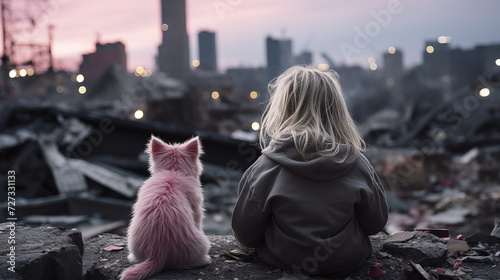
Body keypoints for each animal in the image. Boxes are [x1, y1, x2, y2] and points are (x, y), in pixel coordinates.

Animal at [121, 136, 211, 280]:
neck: (173, 171)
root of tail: (158, 254)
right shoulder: (196, 209)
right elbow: (198, 222)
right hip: (202, 243)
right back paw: (205, 260)